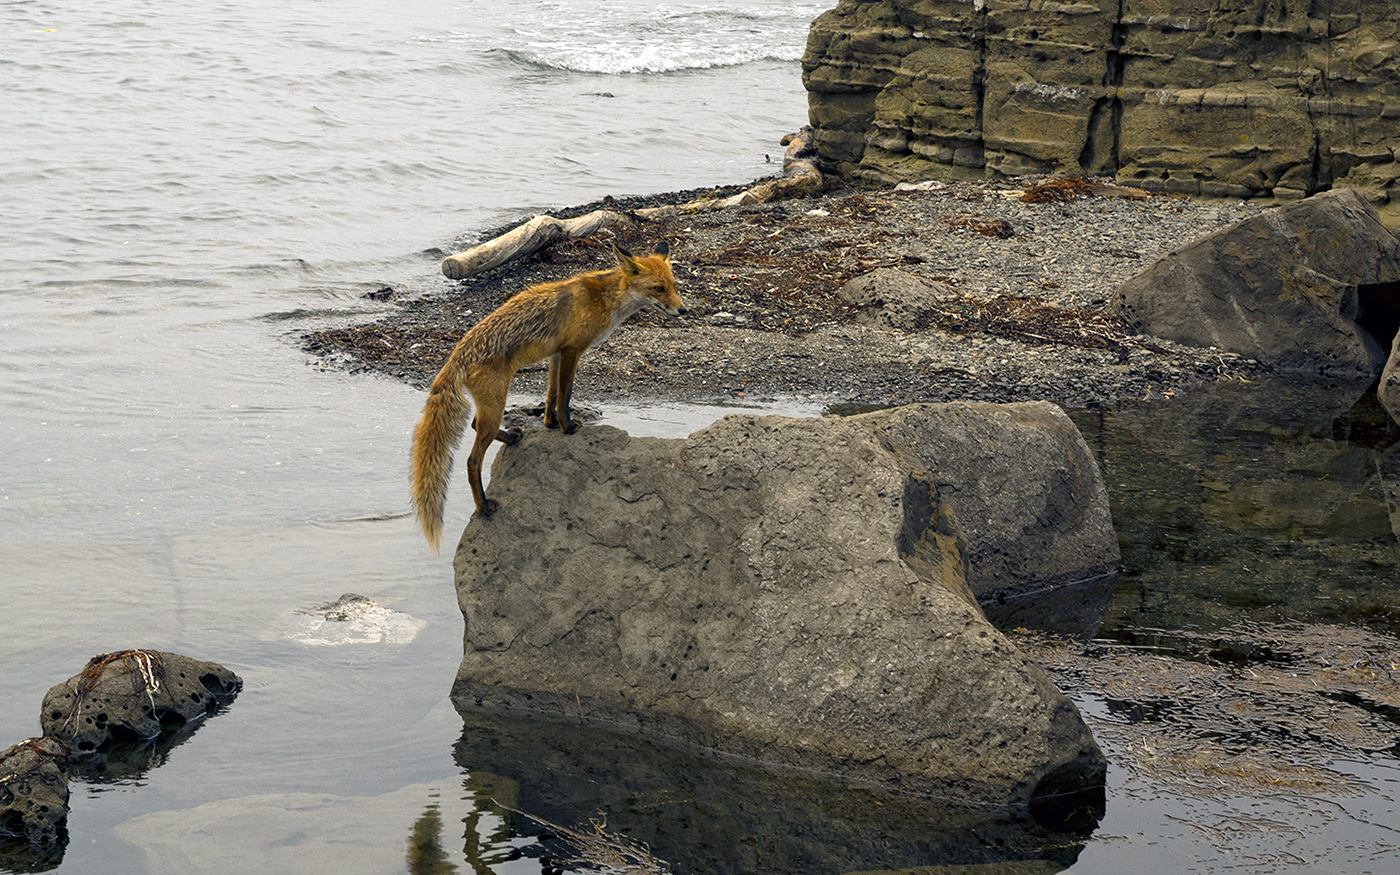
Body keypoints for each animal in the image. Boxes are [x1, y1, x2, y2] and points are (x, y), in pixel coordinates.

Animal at [408, 242, 686, 548]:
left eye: (674, 285)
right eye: (658, 288)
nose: (683, 310)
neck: (604, 299)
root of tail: (458, 353)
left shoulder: (556, 352)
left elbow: (551, 393)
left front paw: (549, 424)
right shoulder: (572, 350)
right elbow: (565, 395)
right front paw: (567, 427)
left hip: (492, 404)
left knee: (475, 425)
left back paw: (512, 437)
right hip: (496, 402)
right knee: (472, 460)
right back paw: (483, 506)